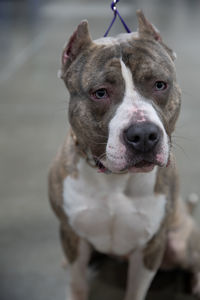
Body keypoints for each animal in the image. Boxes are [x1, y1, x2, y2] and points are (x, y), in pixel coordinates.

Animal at [48, 9, 200, 300]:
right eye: (100, 93)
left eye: (160, 85)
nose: (143, 135)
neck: (113, 178)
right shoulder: (72, 237)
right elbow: (77, 284)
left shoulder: (150, 247)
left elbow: (135, 291)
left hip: (178, 242)